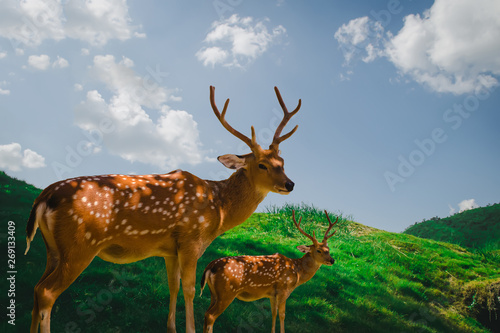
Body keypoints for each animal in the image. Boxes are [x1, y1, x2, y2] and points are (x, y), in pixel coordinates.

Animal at [25, 86, 302, 332]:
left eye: (283, 161)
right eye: (262, 164)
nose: (290, 184)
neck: (219, 209)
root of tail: (44, 196)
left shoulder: (170, 249)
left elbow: (173, 286)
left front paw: (171, 328)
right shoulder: (191, 238)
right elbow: (190, 289)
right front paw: (189, 329)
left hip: (54, 248)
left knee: (37, 288)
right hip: (80, 244)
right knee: (47, 292)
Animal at [201, 210, 338, 332]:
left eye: (328, 249)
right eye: (319, 250)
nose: (332, 260)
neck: (297, 272)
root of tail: (210, 266)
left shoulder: (272, 294)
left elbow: (273, 313)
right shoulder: (284, 290)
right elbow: (282, 314)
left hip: (214, 293)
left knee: (206, 313)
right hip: (227, 291)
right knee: (210, 316)